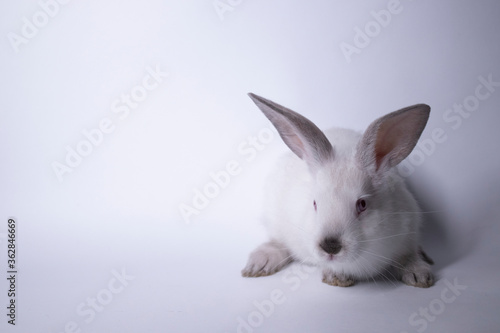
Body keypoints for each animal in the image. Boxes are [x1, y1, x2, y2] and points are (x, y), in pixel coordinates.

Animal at [242, 92, 434, 286]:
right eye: (315, 203)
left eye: (362, 204)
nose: (330, 247)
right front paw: (337, 278)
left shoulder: (408, 229)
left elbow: (407, 256)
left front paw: (419, 275)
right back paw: (259, 264)